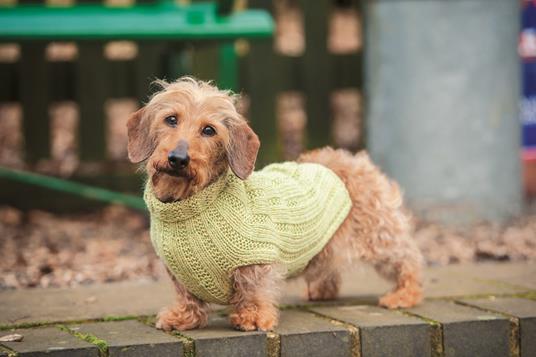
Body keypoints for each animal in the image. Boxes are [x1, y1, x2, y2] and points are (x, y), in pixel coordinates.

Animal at [126, 76, 422, 330]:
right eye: (171, 119)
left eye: (209, 130)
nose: (178, 158)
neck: (195, 204)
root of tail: (352, 159)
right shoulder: (180, 272)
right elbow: (186, 295)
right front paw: (182, 317)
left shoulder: (257, 257)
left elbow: (253, 288)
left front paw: (253, 316)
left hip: (379, 235)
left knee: (408, 257)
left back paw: (405, 294)